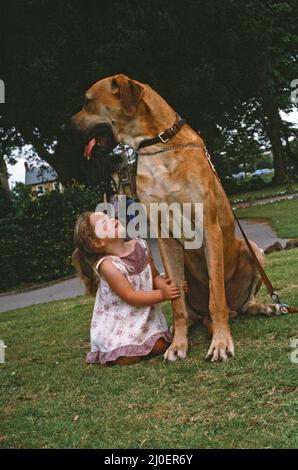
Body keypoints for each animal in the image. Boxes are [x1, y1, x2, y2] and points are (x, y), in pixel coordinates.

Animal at [71, 73, 280, 362]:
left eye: (87, 102)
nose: (68, 126)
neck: (158, 144)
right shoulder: (164, 235)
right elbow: (177, 302)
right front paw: (179, 345)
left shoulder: (209, 227)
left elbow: (217, 297)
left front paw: (220, 342)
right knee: (193, 311)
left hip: (255, 252)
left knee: (239, 303)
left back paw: (263, 307)